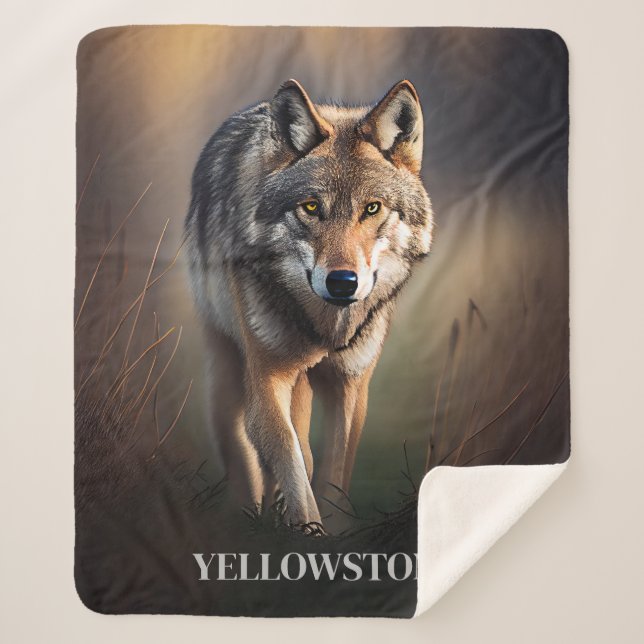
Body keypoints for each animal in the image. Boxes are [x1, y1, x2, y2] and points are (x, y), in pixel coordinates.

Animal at [185, 79, 433, 530]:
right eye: (312, 207)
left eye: (372, 208)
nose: (342, 282)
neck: (325, 329)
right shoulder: (268, 378)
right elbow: (292, 458)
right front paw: (305, 527)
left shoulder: (351, 384)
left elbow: (332, 470)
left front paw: (330, 528)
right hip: (228, 369)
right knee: (250, 449)